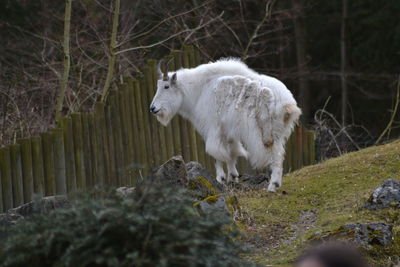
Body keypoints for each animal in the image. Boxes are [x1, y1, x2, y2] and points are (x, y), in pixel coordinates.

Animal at [150, 58, 300, 193]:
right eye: (157, 86)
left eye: (166, 86)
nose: (153, 108)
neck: (199, 91)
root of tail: (288, 104)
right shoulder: (228, 131)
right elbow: (232, 152)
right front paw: (232, 177)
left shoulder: (212, 128)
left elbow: (216, 153)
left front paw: (220, 179)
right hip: (278, 133)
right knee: (280, 155)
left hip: (268, 135)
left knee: (276, 156)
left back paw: (272, 186)